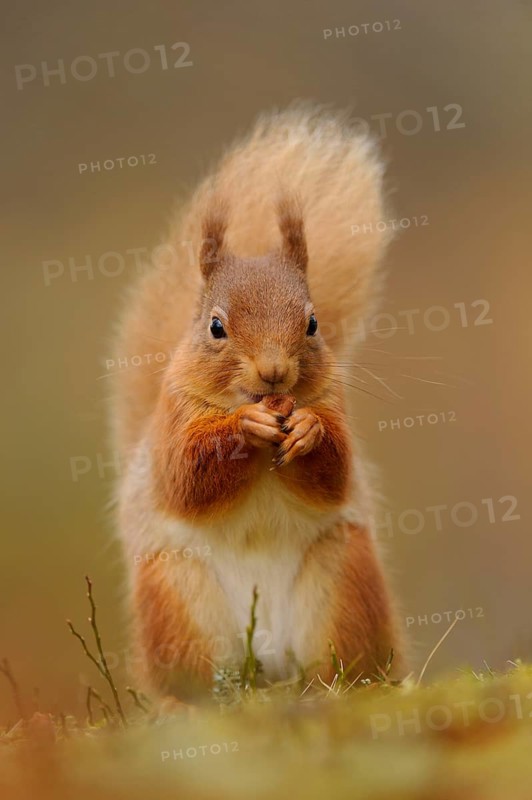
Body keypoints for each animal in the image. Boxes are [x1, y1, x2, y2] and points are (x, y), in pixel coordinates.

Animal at [111, 104, 403, 698]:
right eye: (215, 326)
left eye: (312, 322)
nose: (273, 372)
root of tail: (266, 661)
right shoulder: (173, 416)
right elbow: (185, 477)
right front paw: (244, 427)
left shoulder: (333, 400)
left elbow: (335, 473)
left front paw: (309, 432)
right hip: (177, 593)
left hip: (342, 578)